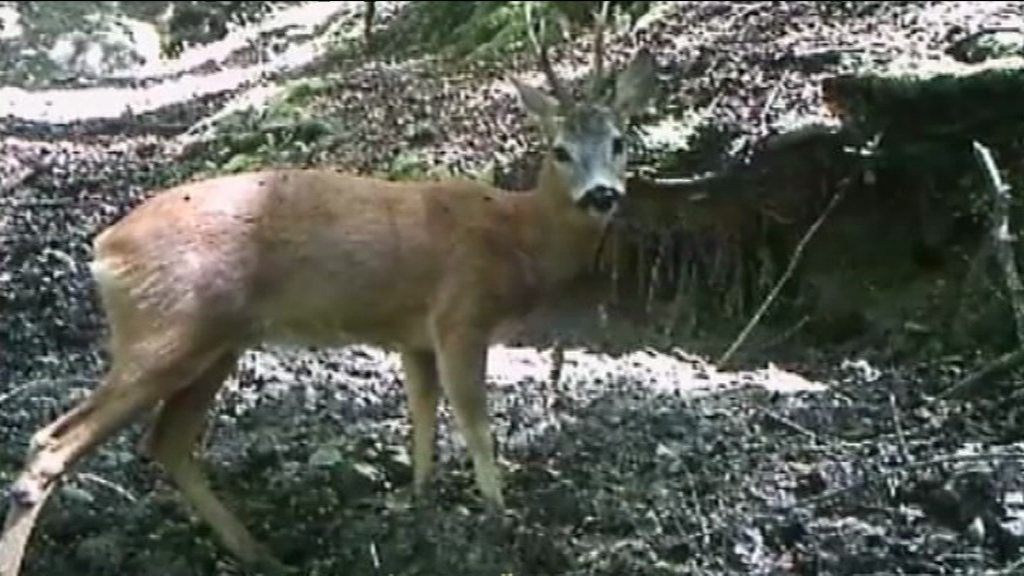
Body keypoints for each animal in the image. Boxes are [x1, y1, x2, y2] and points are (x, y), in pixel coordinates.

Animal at [0, 5, 655, 573]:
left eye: (620, 142)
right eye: (559, 150)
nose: (603, 194)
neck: (518, 234)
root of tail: (105, 249)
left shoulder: (415, 335)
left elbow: (422, 414)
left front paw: (420, 507)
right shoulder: (460, 315)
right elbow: (475, 420)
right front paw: (498, 520)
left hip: (216, 340)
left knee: (169, 441)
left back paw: (261, 554)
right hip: (165, 329)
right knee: (53, 443)